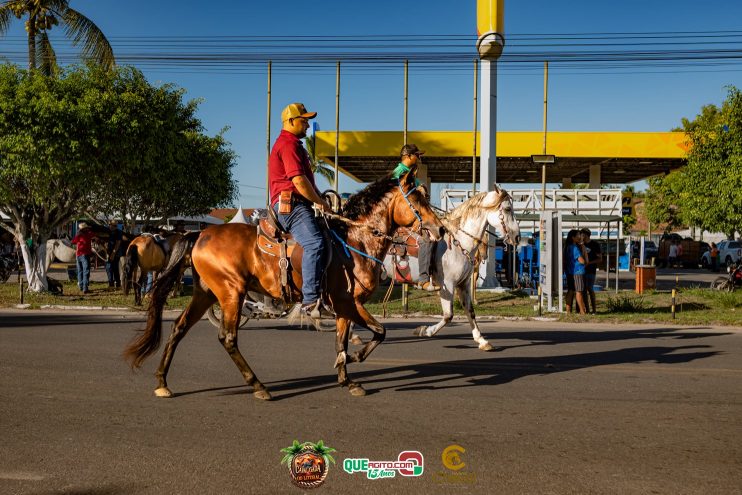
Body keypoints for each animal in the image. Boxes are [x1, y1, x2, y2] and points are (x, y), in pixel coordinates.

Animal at [125, 169, 444, 402]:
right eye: (417, 200)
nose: (440, 229)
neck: (355, 241)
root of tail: (200, 234)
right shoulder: (347, 303)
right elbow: (380, 331)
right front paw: (354, 357)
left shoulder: (345, 307)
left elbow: (342, 340)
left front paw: (347, 377)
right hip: (231, 292)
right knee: (227, 338)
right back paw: (258, 386)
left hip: (205, 294)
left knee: (178, 328)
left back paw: (162, 381)